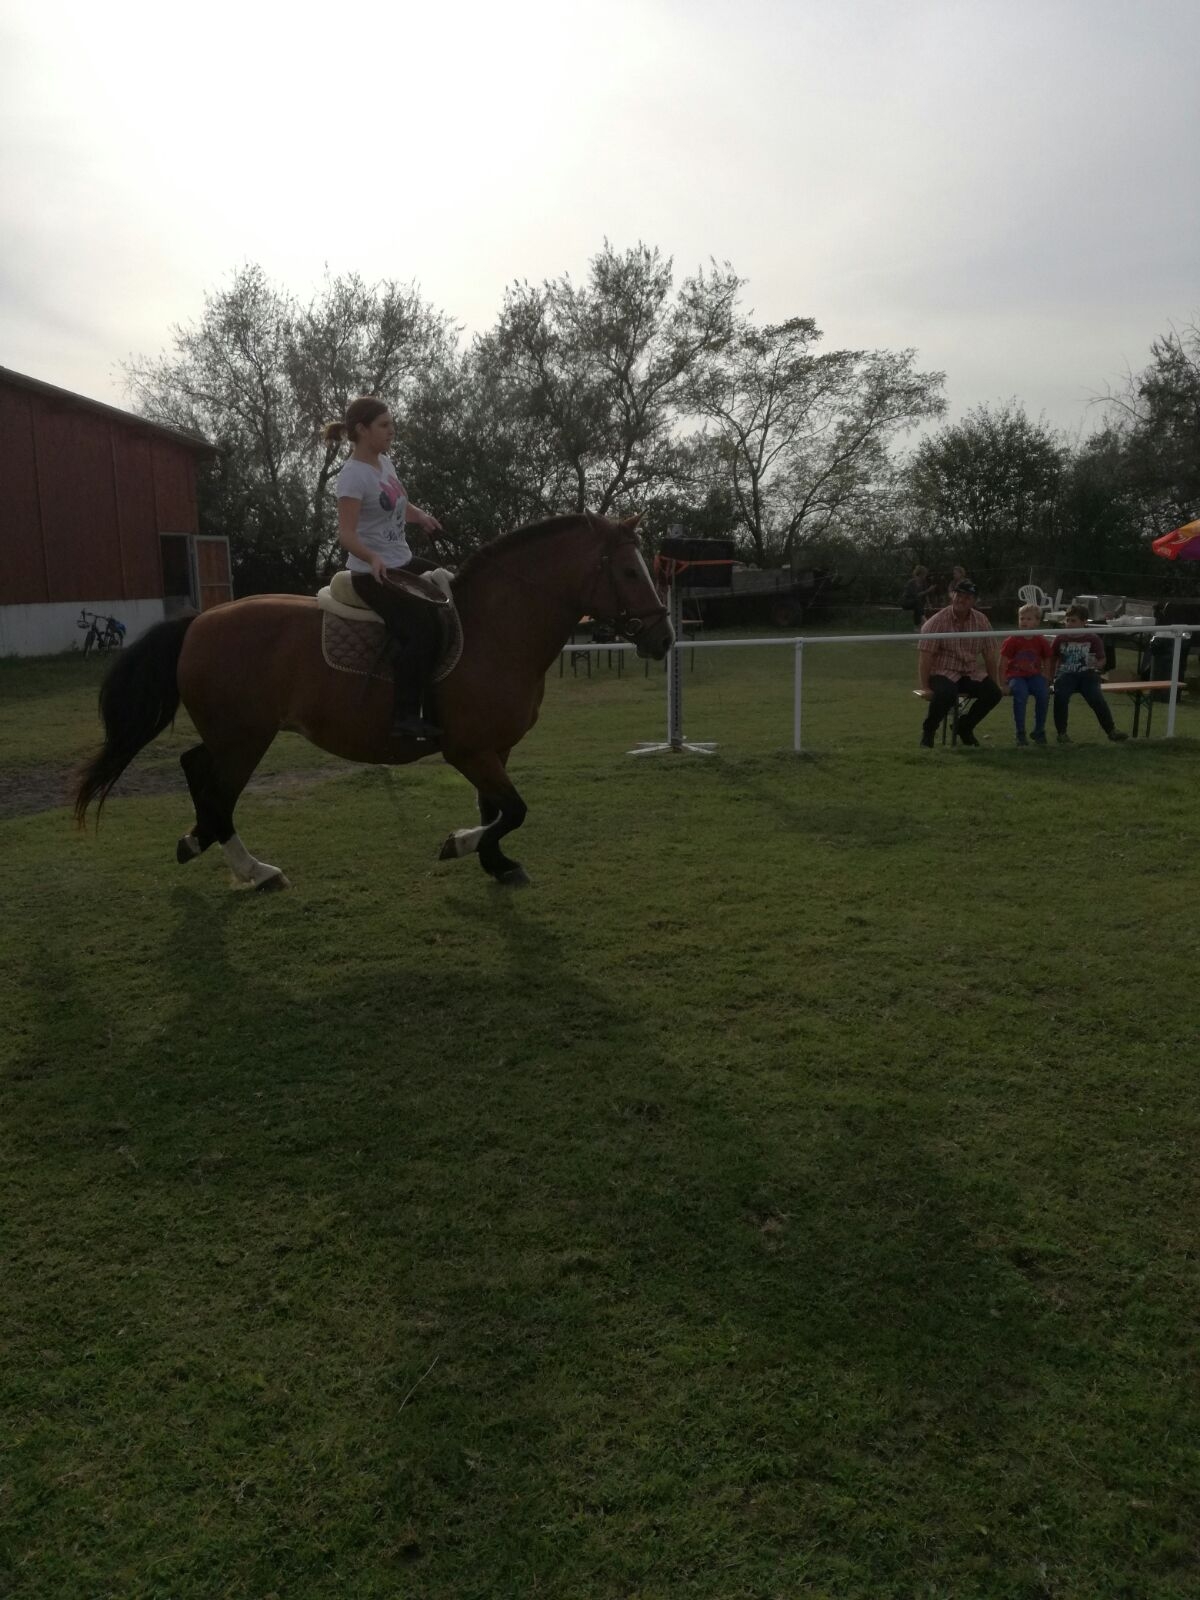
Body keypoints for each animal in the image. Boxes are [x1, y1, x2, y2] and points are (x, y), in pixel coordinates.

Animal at [75, 512, 678, 889]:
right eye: (630, 570)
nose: (664, 639)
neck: (496, 631)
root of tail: (200, 621)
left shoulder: (494, 749)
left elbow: (497, 809)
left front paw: (496, 862)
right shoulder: (468, 750)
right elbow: (513, 810)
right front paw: (461, 845)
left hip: (231, 735)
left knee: (194, 768)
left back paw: (196, 842)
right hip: (245, 739)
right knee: (218, 794)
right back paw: (255, 871)